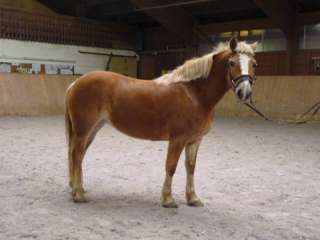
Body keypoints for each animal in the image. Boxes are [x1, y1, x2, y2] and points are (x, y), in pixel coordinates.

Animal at [64, 37, 258, 208]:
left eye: (254, 64)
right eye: (231, 63)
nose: (245, 92)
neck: (194, 94)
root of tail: (76, 83)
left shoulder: (194, 141)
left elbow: (191, 168)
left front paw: (193, 198)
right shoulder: (177, 140)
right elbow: (171, 167)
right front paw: (168, 199)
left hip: (92, 130)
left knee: (78, 156)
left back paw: (78, 189)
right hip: (83, 130)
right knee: (77, 155)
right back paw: (78, 194)